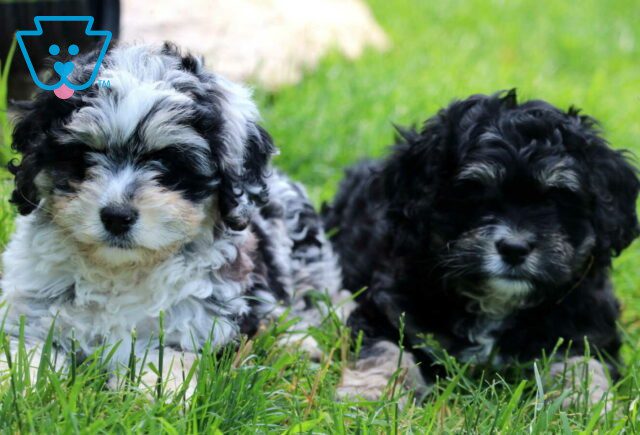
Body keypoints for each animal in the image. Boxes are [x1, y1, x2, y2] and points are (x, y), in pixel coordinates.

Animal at [0, 43, 350, 396]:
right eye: (82, 156)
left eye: (169, 163)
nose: (117, 217)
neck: (119, 270)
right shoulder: (32, 313)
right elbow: (27, 353)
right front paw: (17, 385)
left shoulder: (191, 327)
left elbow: (163, 362)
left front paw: (155, 396)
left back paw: (298, 343)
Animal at [324, 90, 640, 408]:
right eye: (474, 194)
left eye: (557, 197)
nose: (514, 248)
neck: (495, 303)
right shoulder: (390, 309)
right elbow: (387, 349)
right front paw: (372, 395)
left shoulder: (586, 329)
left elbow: (584, 363)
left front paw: (586, 404)